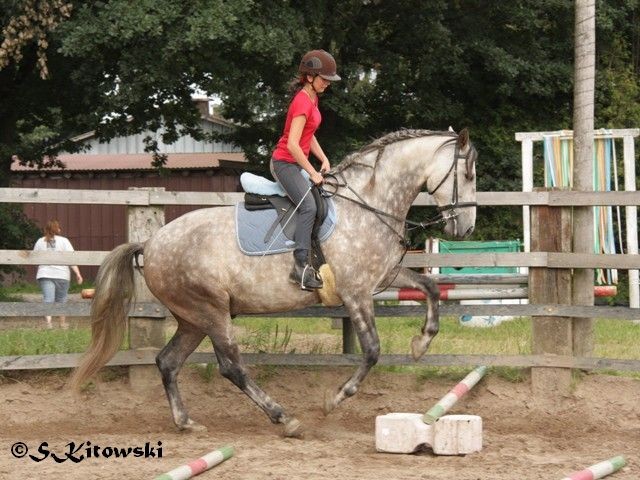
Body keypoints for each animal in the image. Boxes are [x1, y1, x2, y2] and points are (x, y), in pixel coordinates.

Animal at [72, 129, 478, 436]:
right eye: (469, 175)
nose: (466, 229)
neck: (367, 205)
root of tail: (151, 243)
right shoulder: (356, 293)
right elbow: (372, 351)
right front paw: (333, 400)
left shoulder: (384, 276)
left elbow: (430, 289)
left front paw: (421, 344)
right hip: (211, 312)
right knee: (231, 367)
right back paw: (284, 417)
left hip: (193, 319)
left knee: (168, 362)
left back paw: (186, 422)